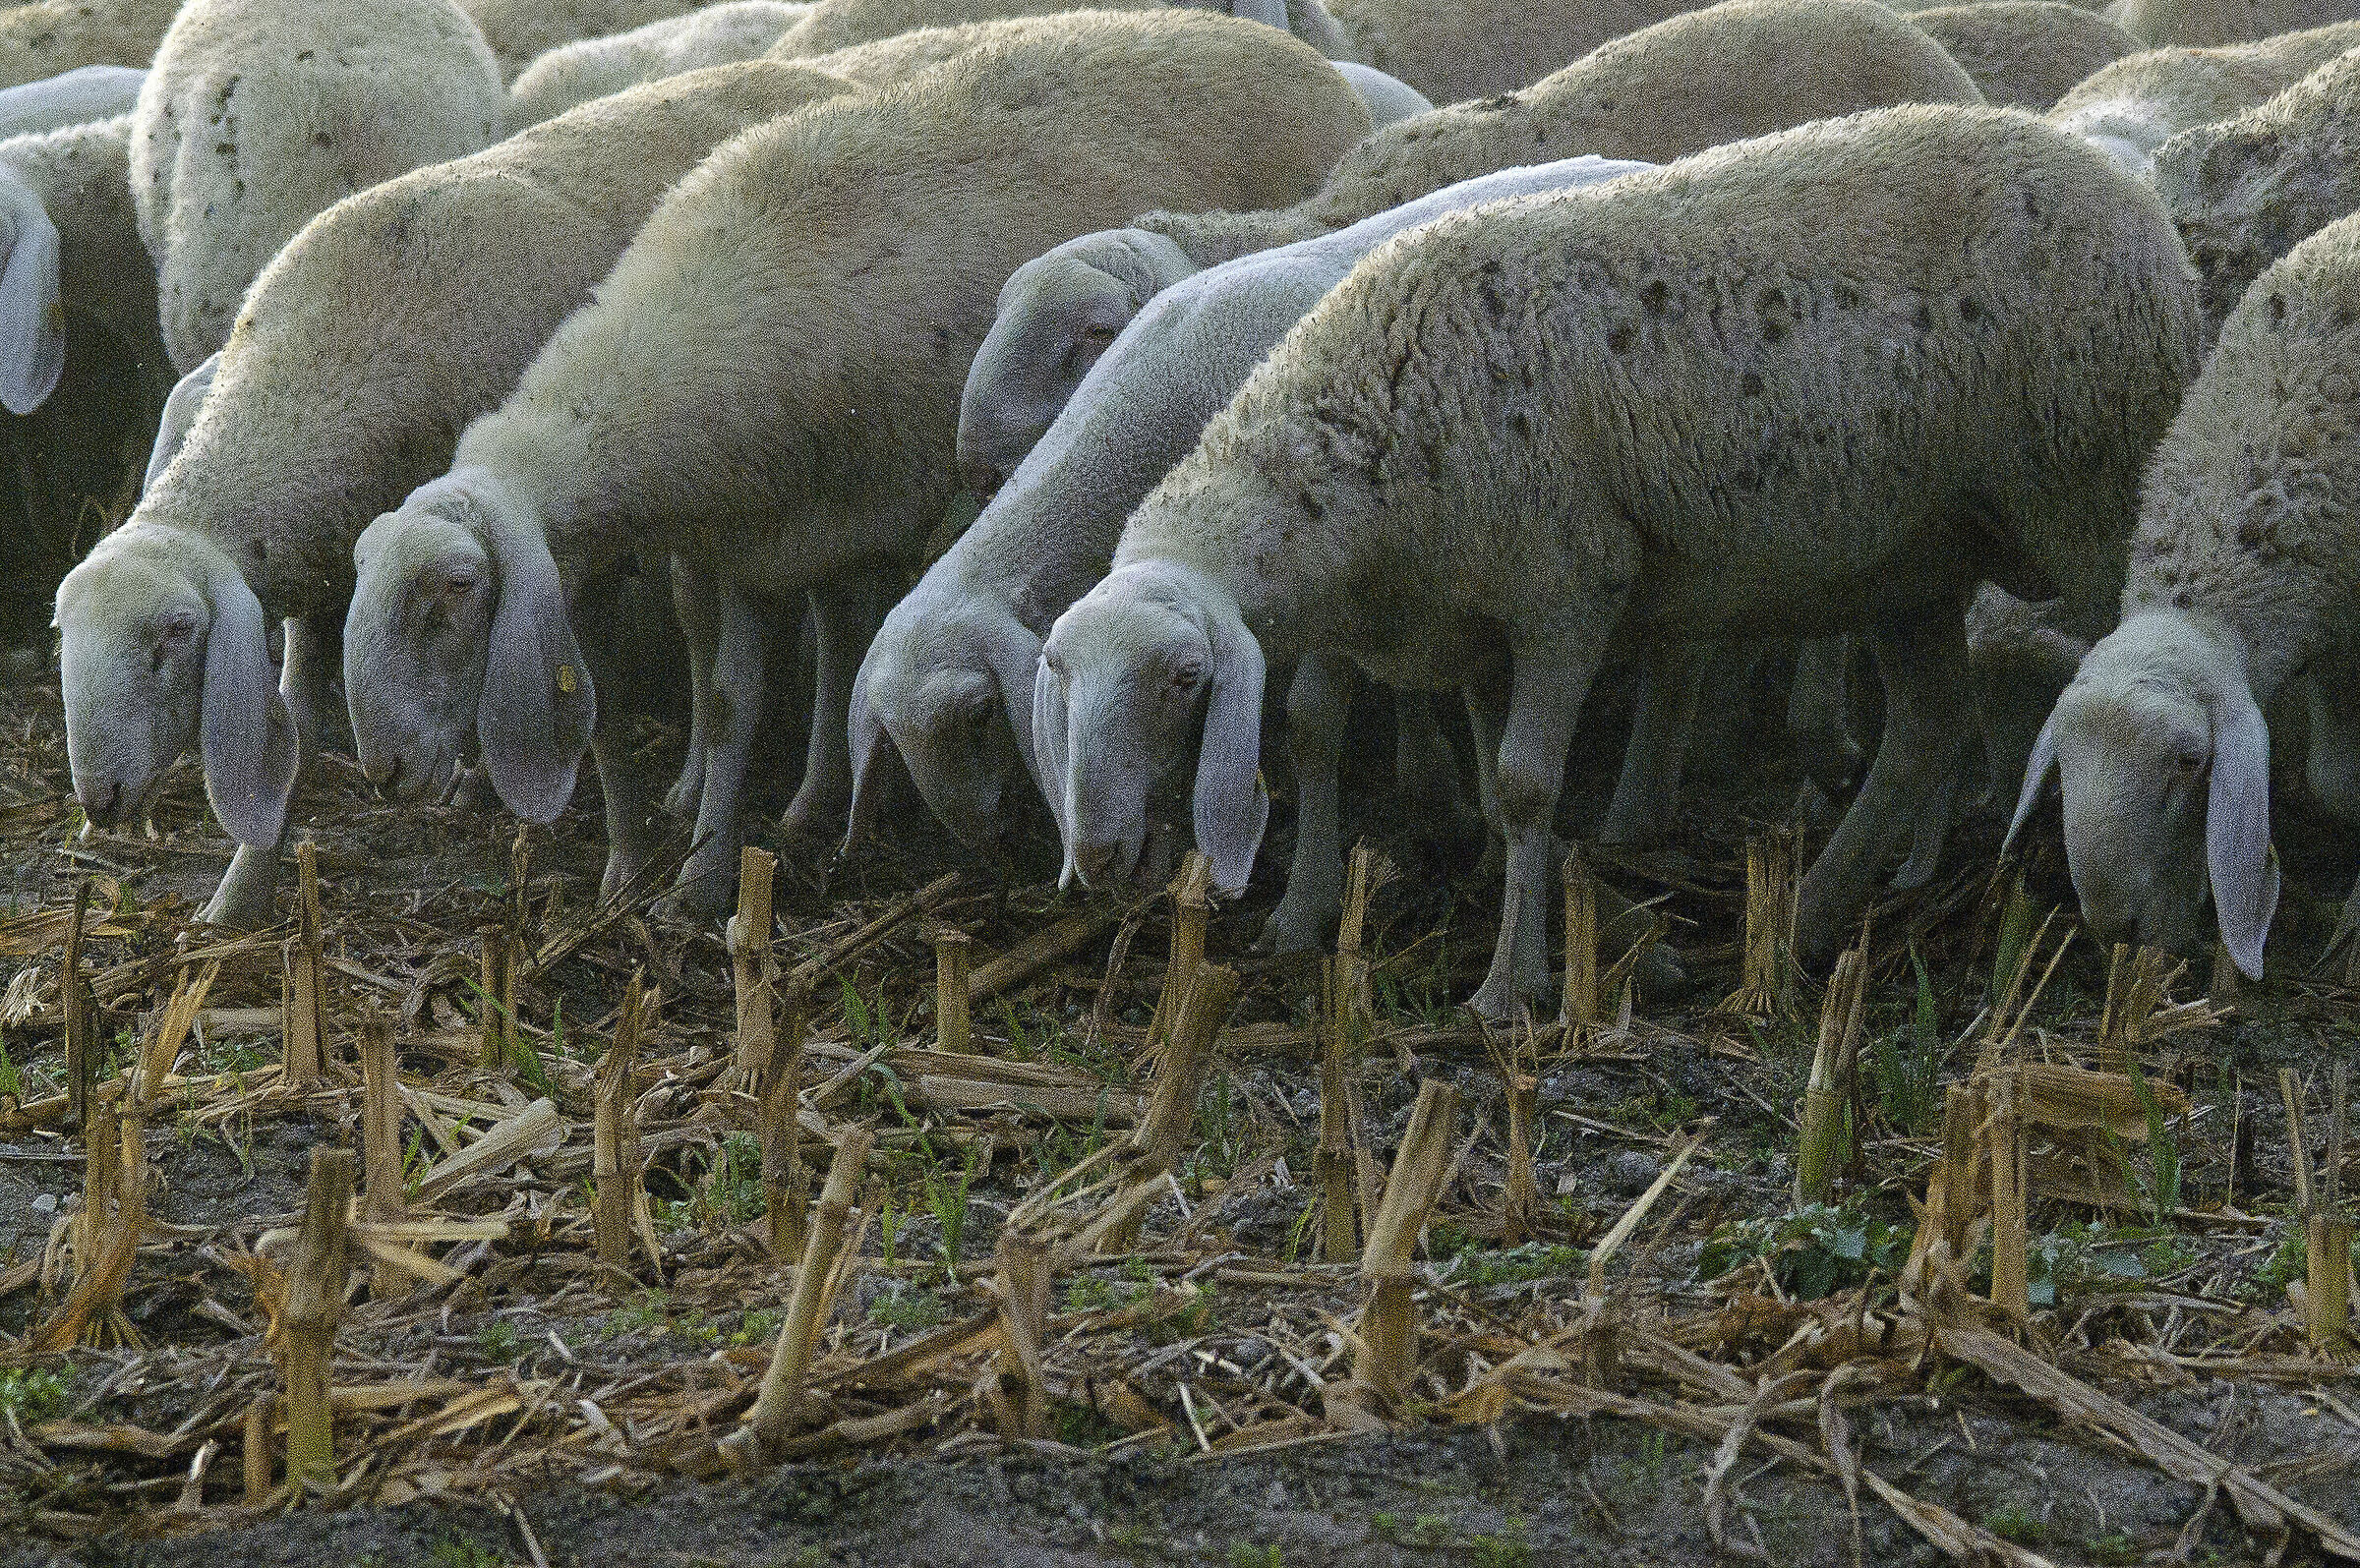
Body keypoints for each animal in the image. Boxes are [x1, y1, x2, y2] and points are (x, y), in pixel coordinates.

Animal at [55, 59, 861, 929]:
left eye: (174, 633)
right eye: (64, 630)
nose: (99, 799)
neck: (329, 369)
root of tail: (814, 74)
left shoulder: (573, 551)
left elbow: (604, 708)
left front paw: (627, 866)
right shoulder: (323, 568)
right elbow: (296, 725)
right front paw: (241, 894)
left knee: (826, 608)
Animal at [1036, 104, 2202, 1019]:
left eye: (1185, 679)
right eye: (1062, 674)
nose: (1096, 857)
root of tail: (2143, 209)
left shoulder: (1567, 586)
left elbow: (1521, 782)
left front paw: (1510, 987)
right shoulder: (1477, 620)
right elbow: (1497, 772)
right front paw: (1579, 924)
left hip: (2090, 492)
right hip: (1913, 551)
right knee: (1922, 726)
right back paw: (1805, 919)